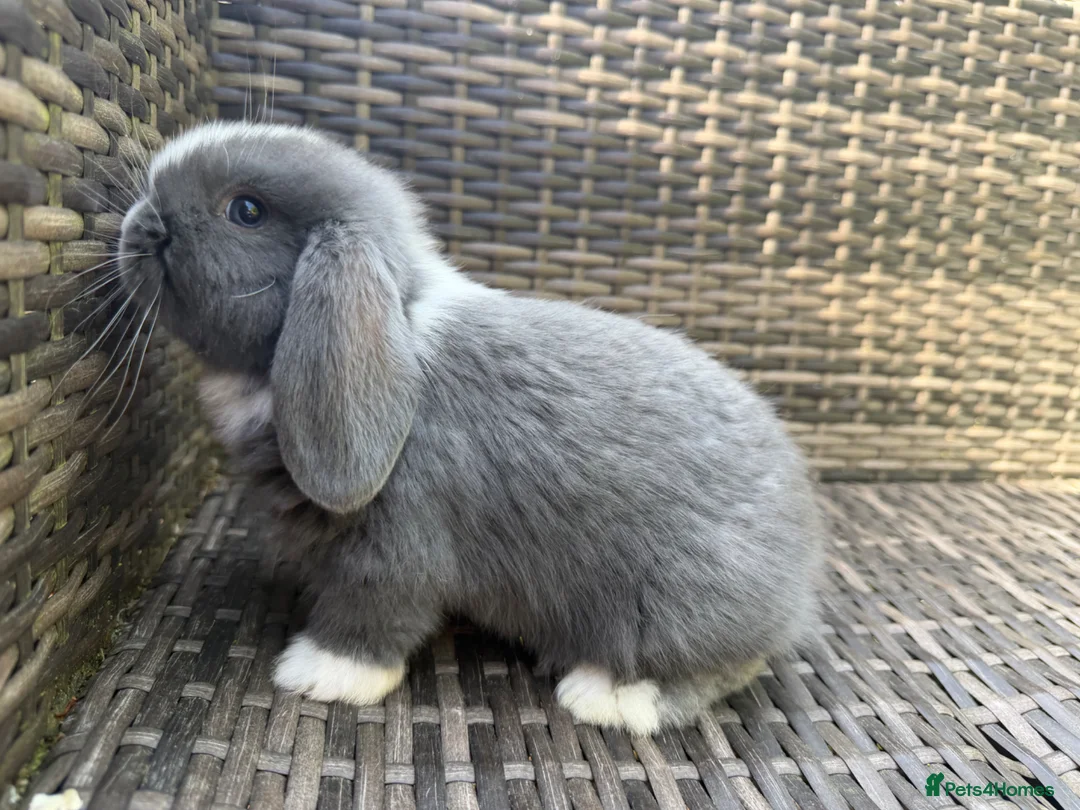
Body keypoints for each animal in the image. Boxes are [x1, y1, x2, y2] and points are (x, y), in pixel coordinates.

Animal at [118, 121, 827, 734]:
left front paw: (317, 674)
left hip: (677, 609)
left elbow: (371, 616)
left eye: (246, 210)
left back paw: (606, 696)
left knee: (718, 668)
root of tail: (798, 577)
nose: (139, 223)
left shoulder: (394, 548)